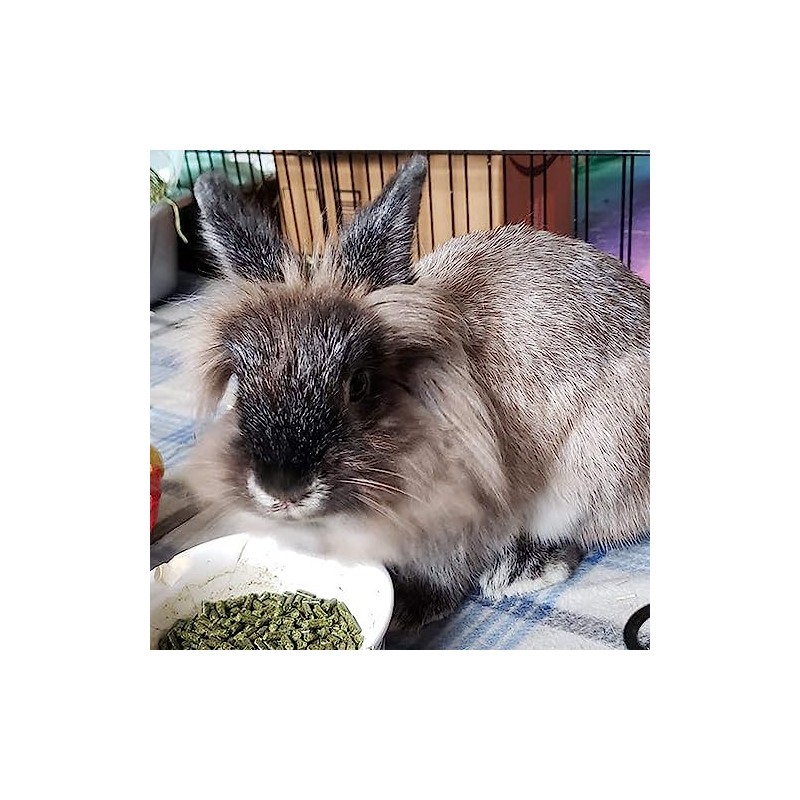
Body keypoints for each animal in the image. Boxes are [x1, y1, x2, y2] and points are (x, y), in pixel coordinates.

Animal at [181, 153, 650, 631]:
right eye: (241, 384)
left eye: (359, 384)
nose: (282, 489)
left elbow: (445, 572)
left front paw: (408, 608)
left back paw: (523, 571)